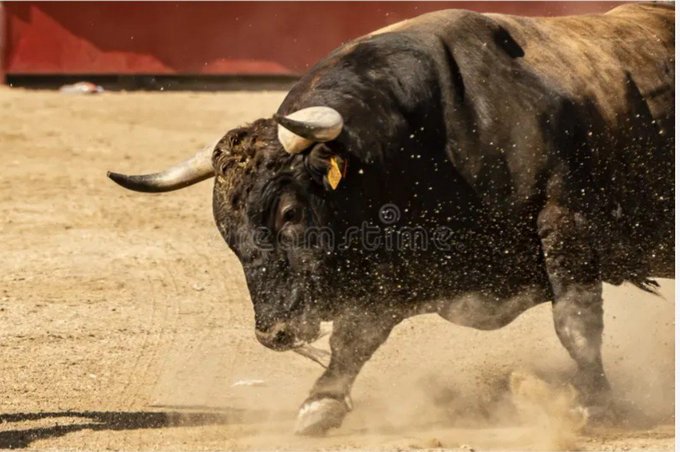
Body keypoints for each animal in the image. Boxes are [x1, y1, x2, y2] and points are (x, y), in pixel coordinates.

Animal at [108, 3, 674, 435]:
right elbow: (355, 338)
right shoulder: (388, 274)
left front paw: (595, 404)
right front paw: (320, 403)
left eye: (289, 212)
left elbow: (575, 322)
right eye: (228, 234)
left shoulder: (566, 224)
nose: (274, 334)